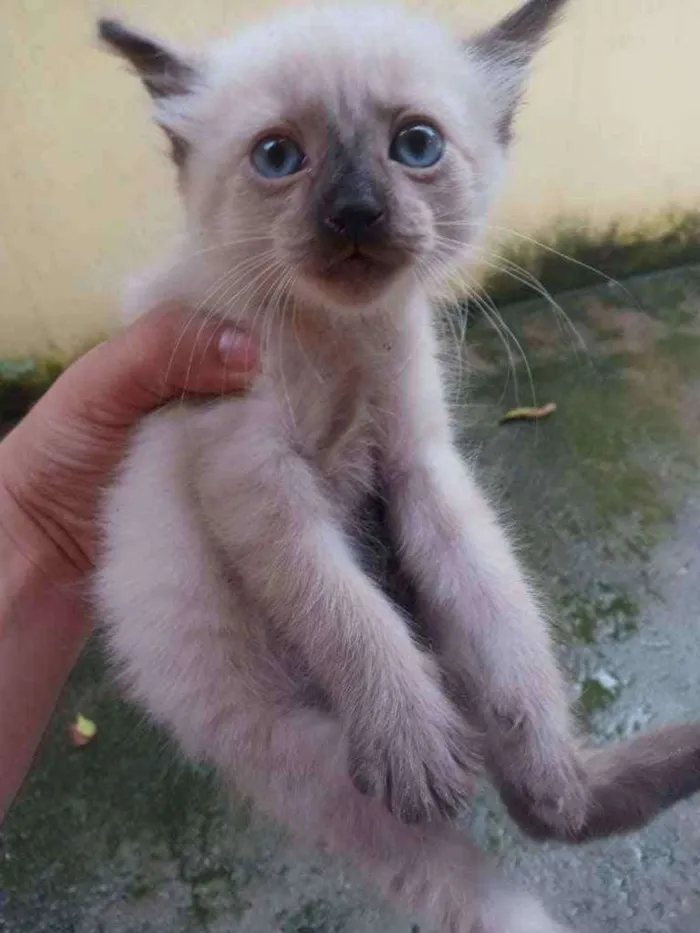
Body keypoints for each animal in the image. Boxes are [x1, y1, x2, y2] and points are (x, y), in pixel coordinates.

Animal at [95, 3, 700, 928]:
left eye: (416, 145)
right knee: (469, 867)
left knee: (545, 792)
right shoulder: (255, 478)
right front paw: (414, 738)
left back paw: (609, 763)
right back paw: (442, 751)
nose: (355, 213)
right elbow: (347, 612)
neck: (338, 336)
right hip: (310, 760)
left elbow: (483, 625)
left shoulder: (418, 470)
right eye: (278, 157)